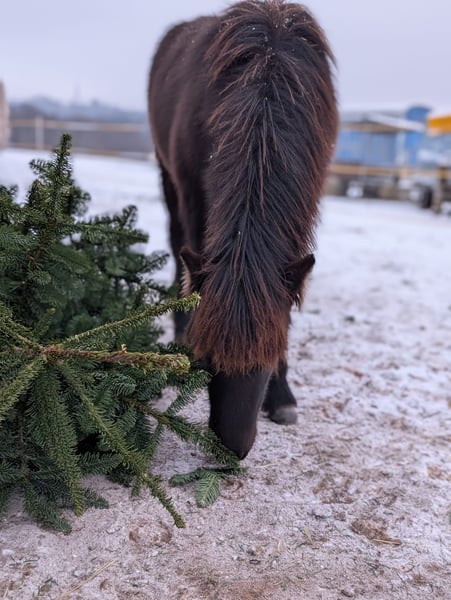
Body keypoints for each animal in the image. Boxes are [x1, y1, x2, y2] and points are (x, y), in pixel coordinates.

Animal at [148, 0, 338, 459]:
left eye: (269, 356)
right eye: (208, 359)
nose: (231, 449)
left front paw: (283, 397)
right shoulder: (192, 192)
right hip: (167, 178)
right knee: (176, 244)